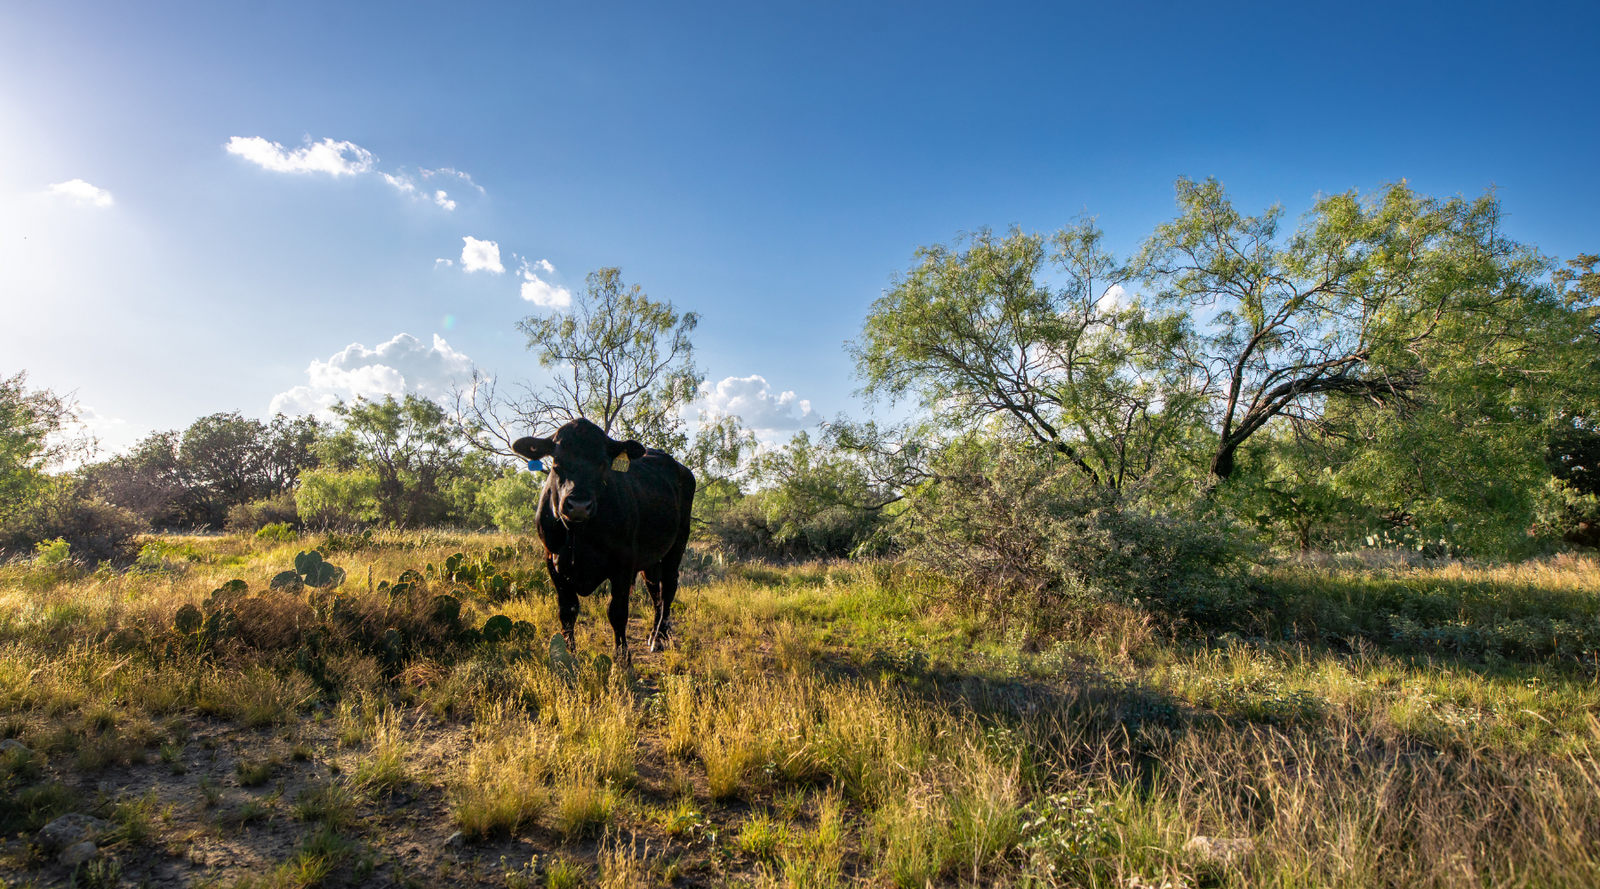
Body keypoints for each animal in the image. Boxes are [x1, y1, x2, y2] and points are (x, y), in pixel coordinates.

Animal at [511, 418, 696, 665]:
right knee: (655, 590)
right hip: (652, 559)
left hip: (677, 544)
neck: (579, 534)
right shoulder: (552, 561)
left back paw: (660, 637)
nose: (579, 505)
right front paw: (570, 654)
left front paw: (623, 658)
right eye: (556, 462)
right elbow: (567, 611)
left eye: (602, 463)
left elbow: (617, 612)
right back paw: (653, 633)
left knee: (668, 588)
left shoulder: (623, 563)